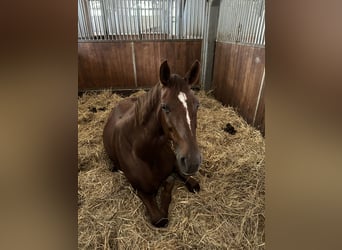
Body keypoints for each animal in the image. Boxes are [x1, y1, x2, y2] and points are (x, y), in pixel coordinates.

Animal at [103, 60, 202, 227]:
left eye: (197, 105)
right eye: (165, 107)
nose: (192, 161)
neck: (144, 152)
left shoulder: (176, 163)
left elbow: (187, 182)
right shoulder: (141, 190)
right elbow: (160, 218)